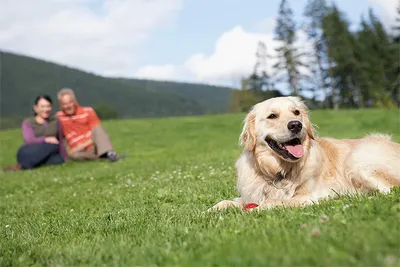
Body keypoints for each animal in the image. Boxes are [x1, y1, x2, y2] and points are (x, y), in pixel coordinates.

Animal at [209, 97, 400, 213]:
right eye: (272, 116)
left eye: (296, 112)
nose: (296, 125)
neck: (279, 172)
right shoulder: (250, 195)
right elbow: (224, 202)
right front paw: (210, 211)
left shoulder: (307, 196)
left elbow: (271, 202)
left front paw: (253, 210)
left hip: (358, 158)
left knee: (388, 190)